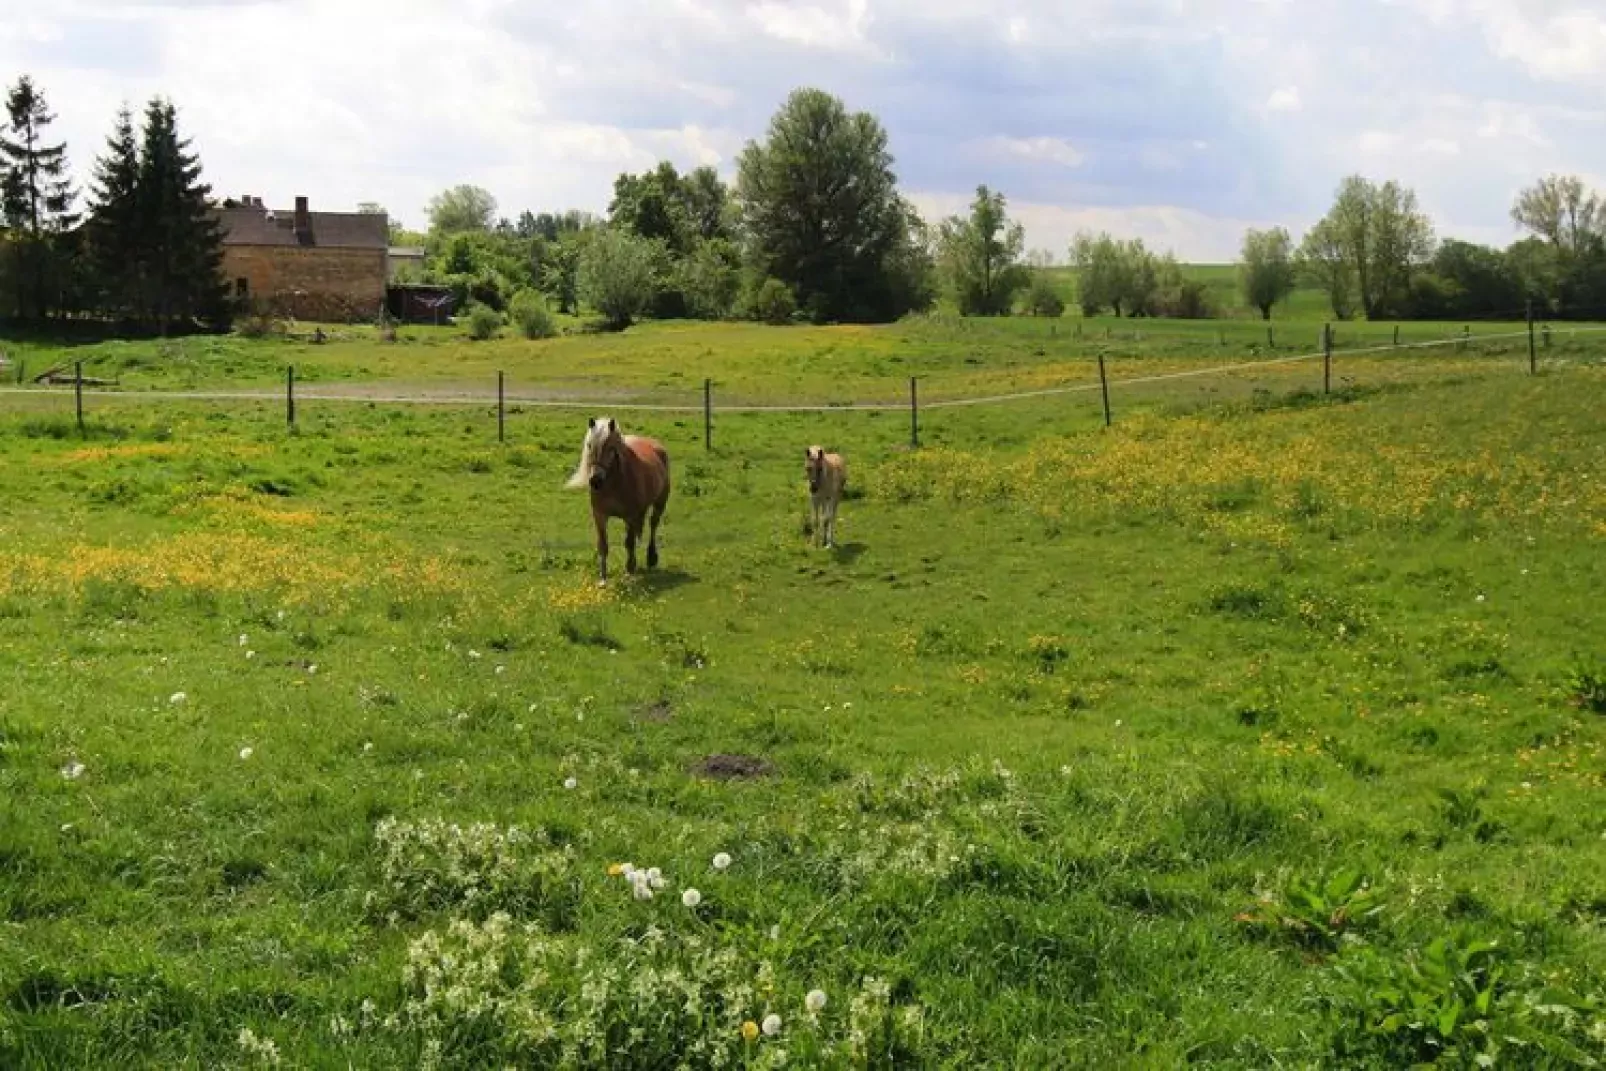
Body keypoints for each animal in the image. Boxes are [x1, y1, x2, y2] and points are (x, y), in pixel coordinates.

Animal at [565, 417, 671, 587]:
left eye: (610, 448)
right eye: (589, 445)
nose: (595, 481)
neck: (614, 484)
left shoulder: (630, 516)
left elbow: (629, 543)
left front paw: (629, 572)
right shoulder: (600, 516)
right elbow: (603, 545)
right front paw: (603, 578)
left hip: (660, 503)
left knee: (653, 525)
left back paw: (651, 558)